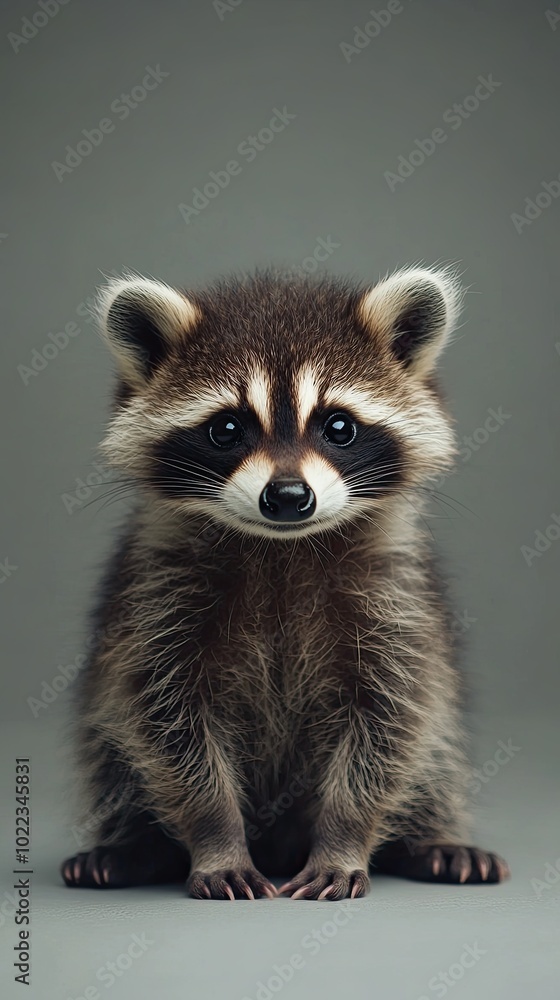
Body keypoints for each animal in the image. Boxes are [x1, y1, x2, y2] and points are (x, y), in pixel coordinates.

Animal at [61, 266, 509, 900]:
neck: (282, 547)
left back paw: (430, 837)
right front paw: (217, 840)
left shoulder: (397, 598)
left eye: (339, 426)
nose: (290, 497)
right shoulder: (156, 593)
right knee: (112, 755)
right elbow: (168, 721)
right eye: (226, 429)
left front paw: (344, 839)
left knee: (435, 749)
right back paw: (132, 846)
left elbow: (391, 720)